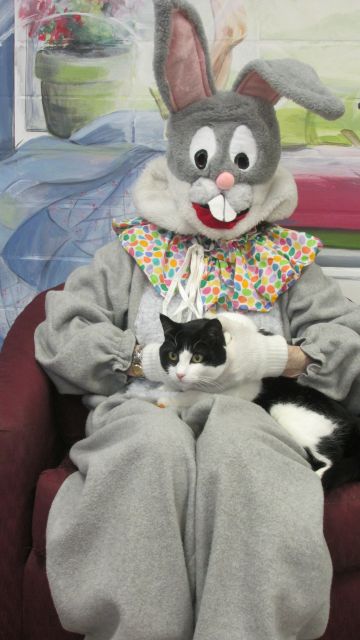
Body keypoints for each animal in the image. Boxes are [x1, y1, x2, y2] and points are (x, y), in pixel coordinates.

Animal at [158, 314, 360, 490]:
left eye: (197, 358)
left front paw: (168, 398)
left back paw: (319, 476)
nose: (180, 375)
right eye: (172, 356)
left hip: (290, 412)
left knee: (332, 457)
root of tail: (351, 420)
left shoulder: (243, 389)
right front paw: (168, 388)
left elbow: (197, 394)